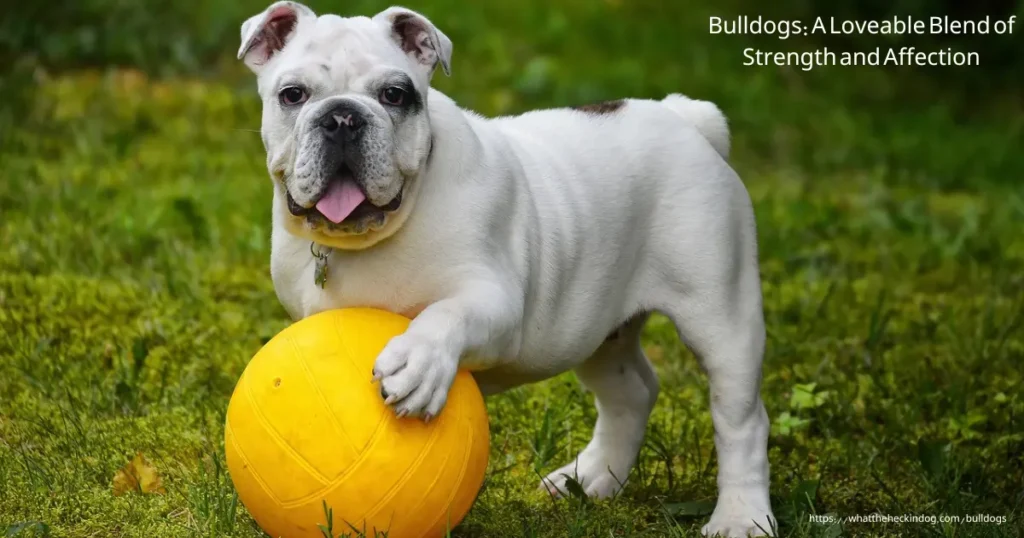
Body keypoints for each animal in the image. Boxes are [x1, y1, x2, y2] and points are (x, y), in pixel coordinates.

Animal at [237, 3, 774, 532]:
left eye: (394, 95)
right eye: (292, 94)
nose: (343, 117)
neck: (373, 236)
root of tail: (683, 116)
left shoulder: (495, 303)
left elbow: (446, 315)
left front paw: (419, 362)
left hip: (720, 315)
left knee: (742, 420)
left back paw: (742, 516)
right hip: (597, 327)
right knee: (630, 392)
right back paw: (592, 478)